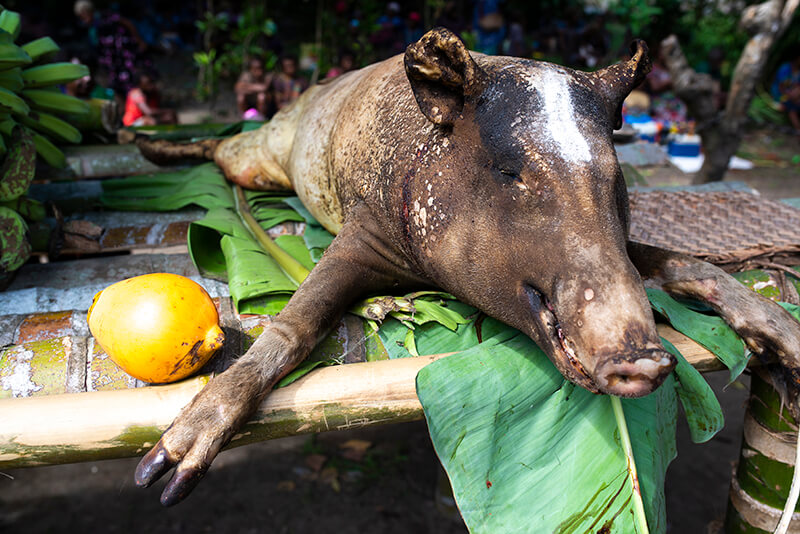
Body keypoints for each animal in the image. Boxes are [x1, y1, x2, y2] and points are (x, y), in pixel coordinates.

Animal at [134, 28, 800, 506]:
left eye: (616, 181)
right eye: (511, 172)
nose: (646, 359)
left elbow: (684, 261)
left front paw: (787, 342)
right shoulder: (362, 233)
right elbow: (298, 321)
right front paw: (162, 472)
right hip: (264, 154)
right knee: (223, 150)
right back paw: (152, 150)